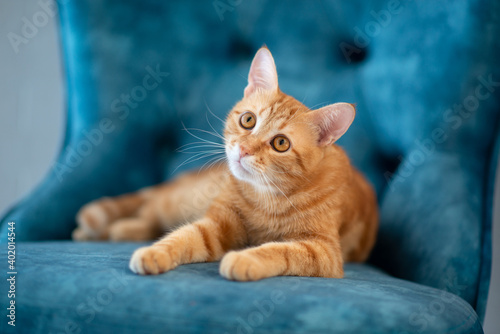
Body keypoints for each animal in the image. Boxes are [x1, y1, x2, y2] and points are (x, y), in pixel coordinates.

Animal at [73, 47, 378, 280]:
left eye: (281, 143)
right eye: (248, 120)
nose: (243, 149)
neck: (265, 196)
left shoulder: (324, 251)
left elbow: (281, 250)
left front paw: (246, 259)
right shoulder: (216, 224)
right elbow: (184, 235)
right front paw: (155, 252)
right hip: (179, 201)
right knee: (152, 210)